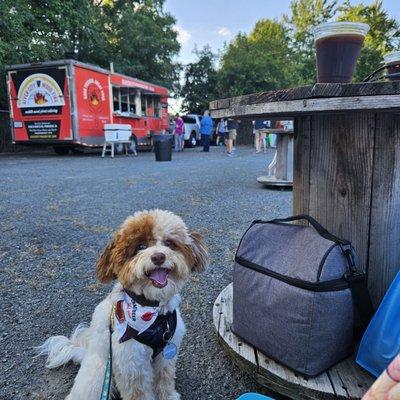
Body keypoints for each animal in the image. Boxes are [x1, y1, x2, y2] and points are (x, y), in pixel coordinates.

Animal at [37, 209, 209, 400]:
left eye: (169, 243)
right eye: (140, 247)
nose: (158, 256)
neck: (153, 312)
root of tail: (85, 353)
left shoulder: (166, 356)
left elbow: (164, 380)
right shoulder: (131, 364)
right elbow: (139, 393)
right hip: (99, 375)